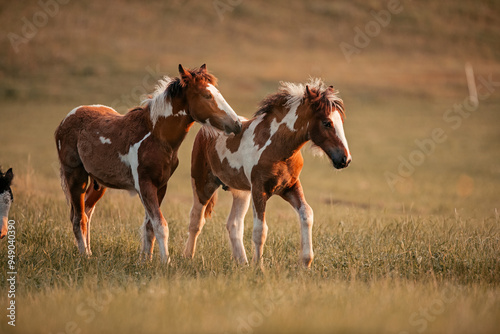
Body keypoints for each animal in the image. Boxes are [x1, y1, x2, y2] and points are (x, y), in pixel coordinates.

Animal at [55, 66, 242, 264]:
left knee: (87, 212)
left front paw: (146, 260)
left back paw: (90, 252)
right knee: (78, 218)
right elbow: (160, 224)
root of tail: (66, 120)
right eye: (207, 95)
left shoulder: (160, 186)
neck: (155, 136)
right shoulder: (145, 185)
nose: (236, 124)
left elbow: (149, 226)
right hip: (76, 178)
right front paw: (165, 262)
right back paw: (84, 255)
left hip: (98, 183)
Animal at [186, 78, 354, 266]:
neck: (277, 148)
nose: (345, 159)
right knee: (196, 220)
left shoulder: (290, 187)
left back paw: (242, 263)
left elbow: (307, 214)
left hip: (241, 192)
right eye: (326, 122)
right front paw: (259, 266)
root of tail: (205, 130)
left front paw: (306, 262)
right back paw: (188, 257)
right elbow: (260, 229)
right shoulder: (260, 190)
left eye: (340, 121)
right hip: (202, 184)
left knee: (234, 224)